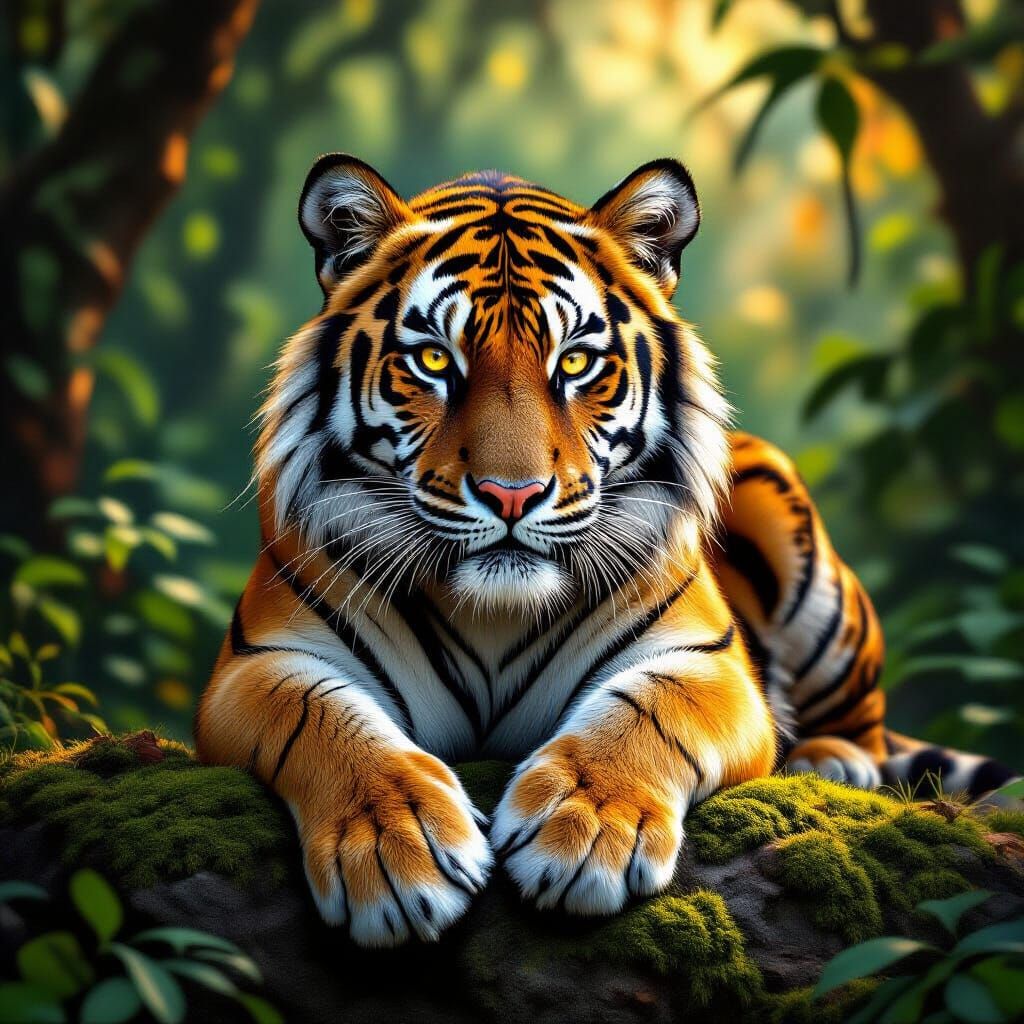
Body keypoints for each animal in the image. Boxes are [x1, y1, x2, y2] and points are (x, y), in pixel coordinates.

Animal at [195, 155, 1016, 948]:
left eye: (575, 363)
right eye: (432, 361)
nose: (513, 495)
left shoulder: (708, 660)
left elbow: (648, 712)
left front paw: (583, 831)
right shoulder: (260, 661)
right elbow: (325, 721)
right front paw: (394, 851)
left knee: (865, 724)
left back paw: (831, 759)